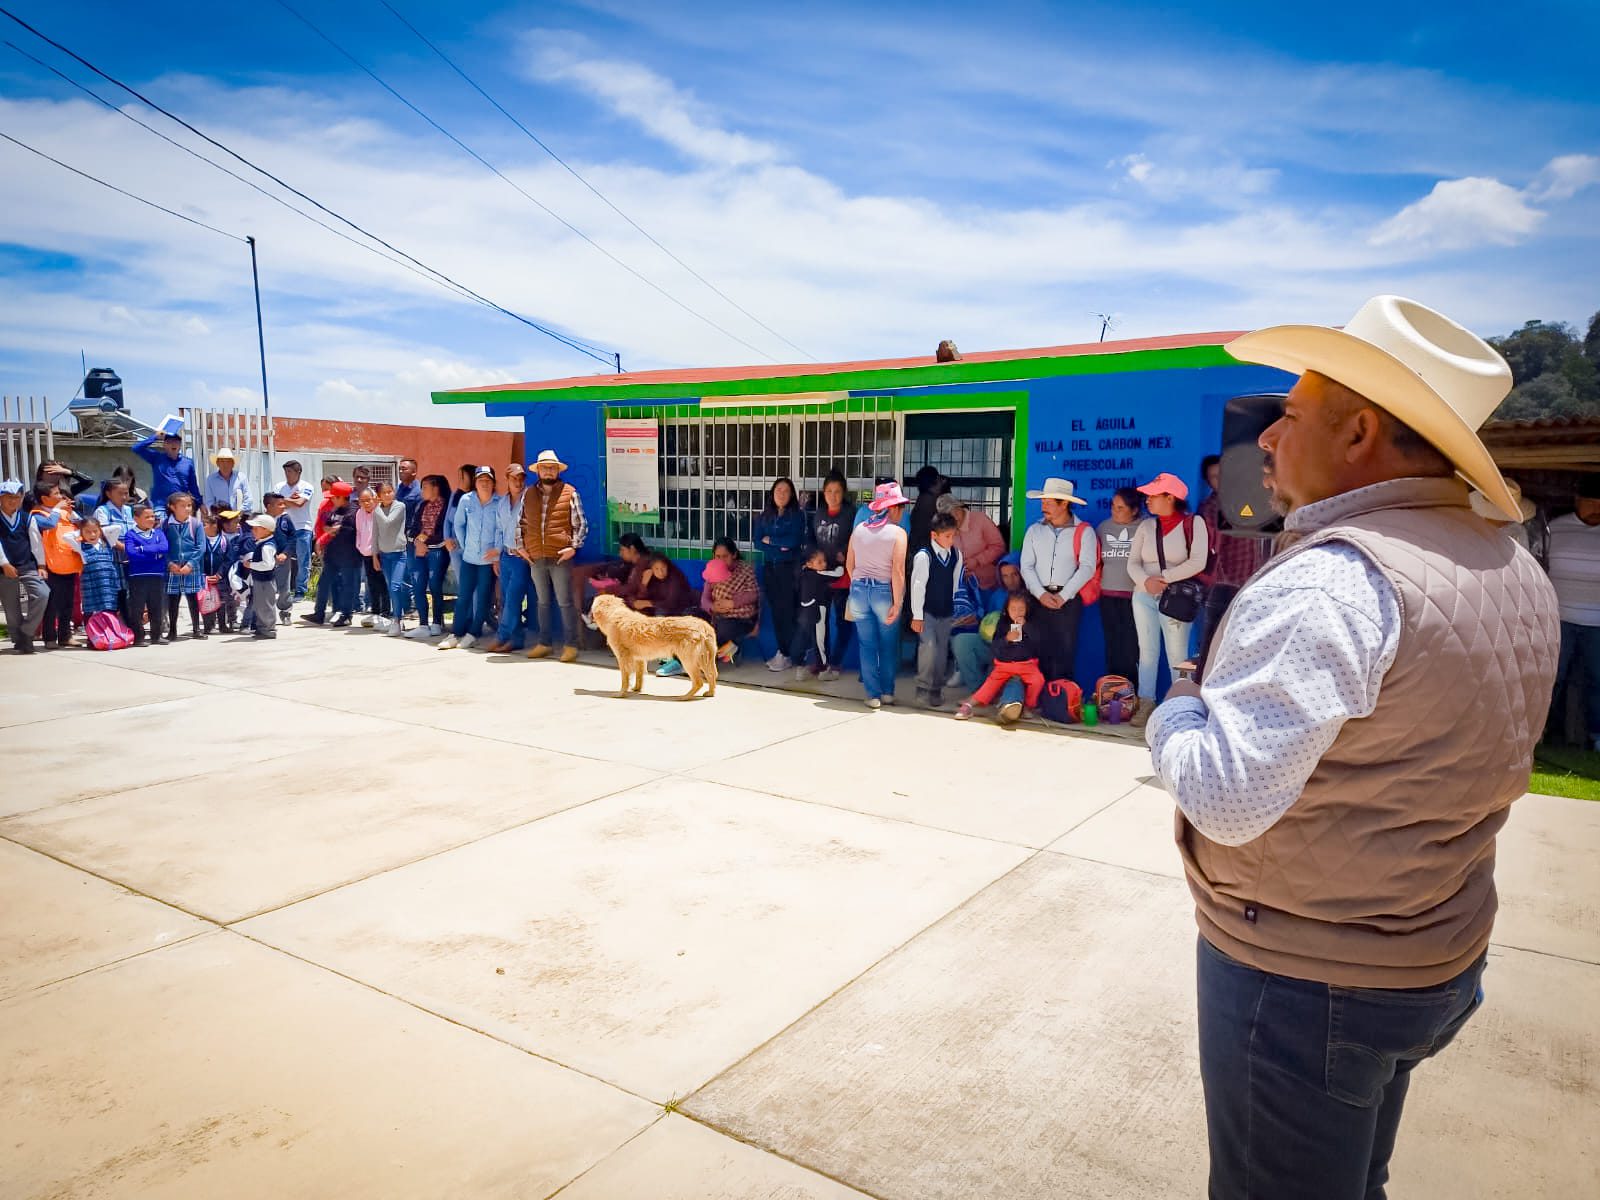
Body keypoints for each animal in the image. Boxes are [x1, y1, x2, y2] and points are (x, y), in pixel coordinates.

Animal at [588, 598, 720, 700]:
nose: (588, 616)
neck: (615, 613)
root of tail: (703, 625)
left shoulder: (623, 658)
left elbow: (625, 679)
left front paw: (621, 694)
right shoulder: (639, 659)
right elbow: (639, 676)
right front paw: (637, 689)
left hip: (688, 660)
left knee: (698, 682)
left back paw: (685, 697)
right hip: (704, 660)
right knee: (712, 675)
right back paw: (710, 693)